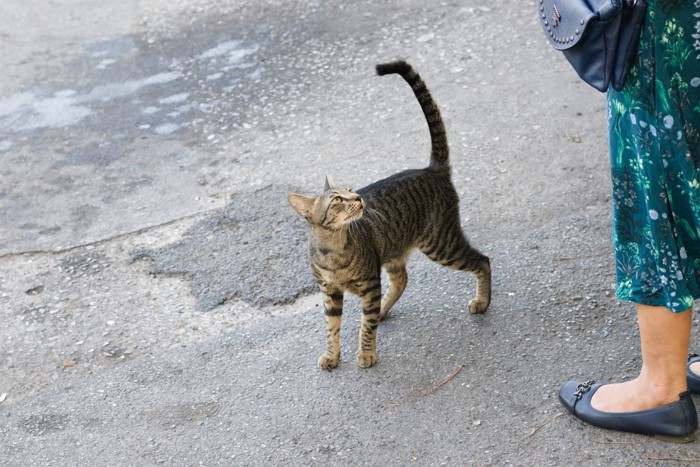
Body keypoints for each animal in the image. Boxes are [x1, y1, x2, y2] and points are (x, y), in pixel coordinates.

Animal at [288, 61, 490, 370]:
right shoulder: (329, 292)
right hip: (397, 248)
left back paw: (482, 302)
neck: (334, 249)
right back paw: (383, 310)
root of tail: (431, 169)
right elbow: (331, 329)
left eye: (351, 190)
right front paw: (332, 356)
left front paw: (366, 353)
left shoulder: (370, 284)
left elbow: (365, 328)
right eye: (337, 200)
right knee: (401, 280)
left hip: (440, 243)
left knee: (483, 260)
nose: (358, 198)